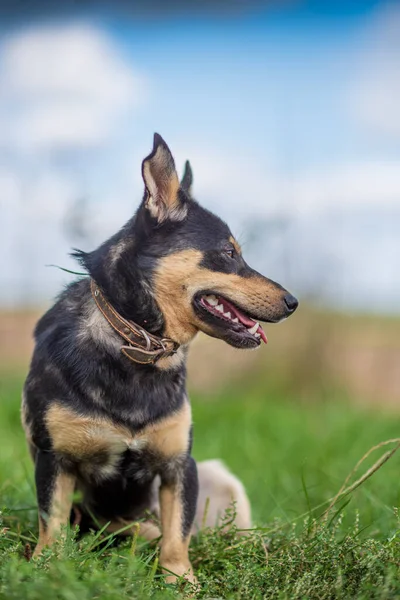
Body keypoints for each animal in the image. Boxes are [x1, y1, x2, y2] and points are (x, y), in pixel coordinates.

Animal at [21, 134, 296, 584]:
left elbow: (176, 534)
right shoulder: (55, 462)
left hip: (221, 478)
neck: (138, 343)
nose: (293, 302)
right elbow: (53, 526)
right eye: (229, 253)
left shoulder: (180, 466)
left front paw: (180, 580)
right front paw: (47, 569)